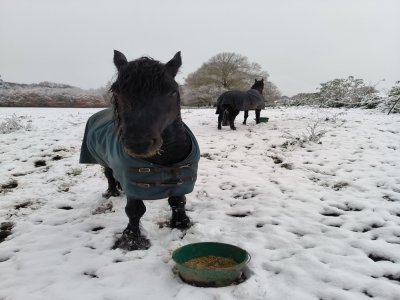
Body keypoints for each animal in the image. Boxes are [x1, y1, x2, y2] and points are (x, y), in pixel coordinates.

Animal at [79, 51, 200, 251]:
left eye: (172, 91)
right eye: (117, 91)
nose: (139, 143)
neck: (164, 159)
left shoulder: (181, 177)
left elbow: (178, 201)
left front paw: (182, 224)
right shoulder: (133, 182)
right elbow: (134, 210)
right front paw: (131, 240)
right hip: (105, 162)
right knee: (109, 176)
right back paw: (112, 192)